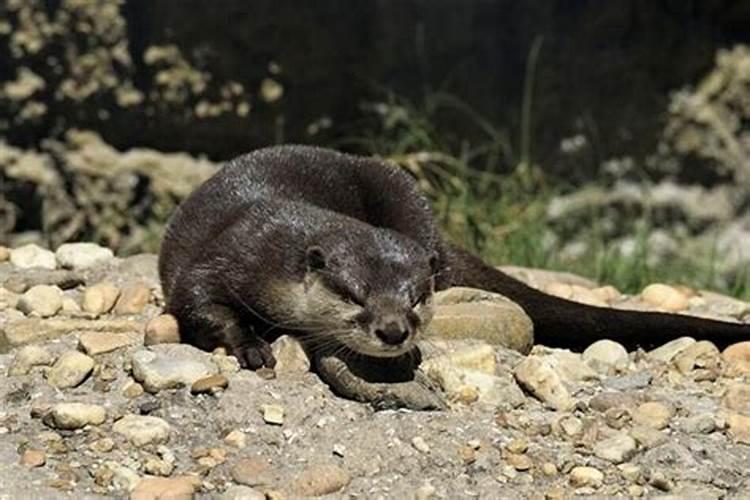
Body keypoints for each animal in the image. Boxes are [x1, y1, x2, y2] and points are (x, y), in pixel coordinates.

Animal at [162, 145, 750, 376]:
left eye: (416, 298)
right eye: (354, 295)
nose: (394, 331)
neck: (278, 244)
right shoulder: (226, 254)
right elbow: (198, 303)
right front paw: (251, 345)